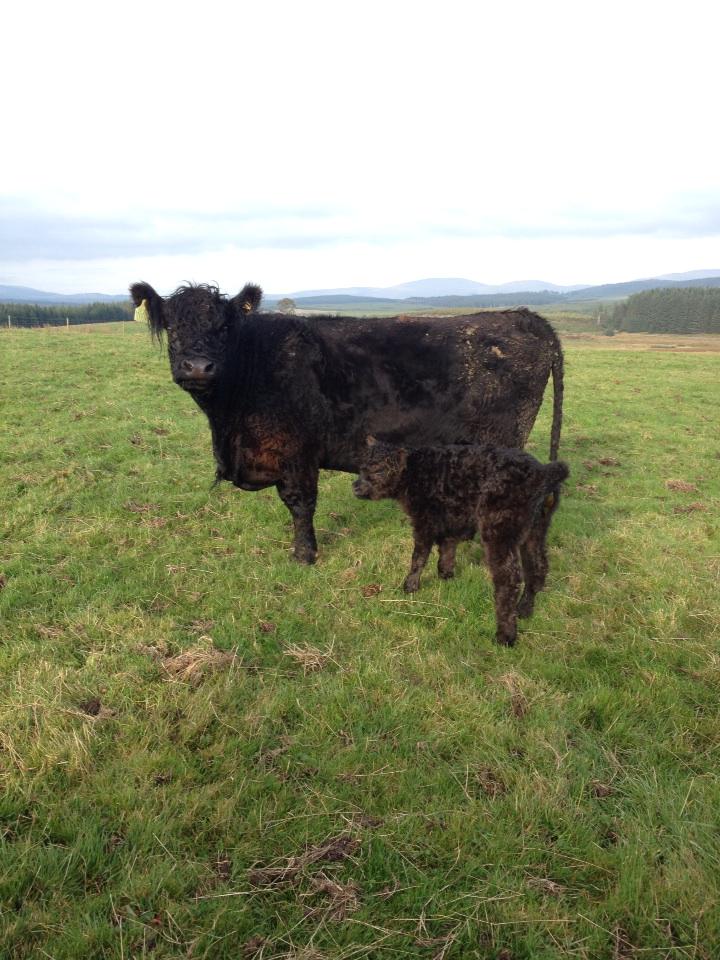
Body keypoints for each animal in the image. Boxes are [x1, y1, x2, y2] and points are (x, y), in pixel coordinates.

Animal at [130, 281, 564, 564]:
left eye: (223, 327)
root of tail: (525, 317)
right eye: (172, 326)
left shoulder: (297, 450)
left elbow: (300, 503)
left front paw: (304, 555)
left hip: (505, 438)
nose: (197, 366)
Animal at [353, 439, 570, 646]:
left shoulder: (424, 519)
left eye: (379, 470)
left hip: (499, 529)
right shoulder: (452, 517)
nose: (355, 487)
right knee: (538, 567)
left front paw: (410, 586)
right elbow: (448, 547)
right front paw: (446, 575)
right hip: (537, 528)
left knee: (509, 579)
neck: (414, 473)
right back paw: (524, 610)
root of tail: (542, 472)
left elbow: (419, 556)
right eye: (362, 468)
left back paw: (505, 636)